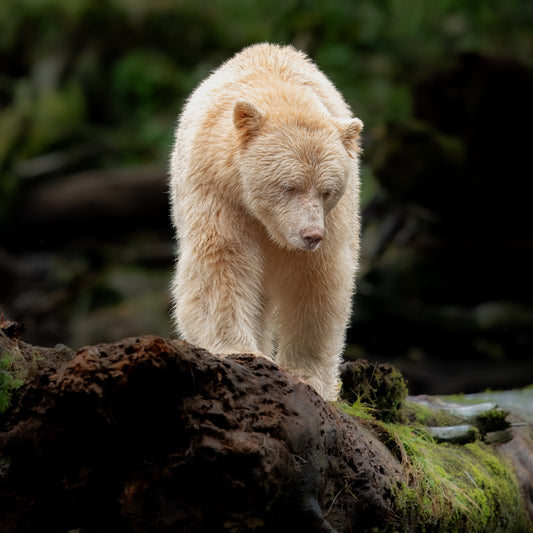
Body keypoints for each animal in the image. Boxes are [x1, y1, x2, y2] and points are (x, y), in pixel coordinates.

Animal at [169, 42, 362, 400]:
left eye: (327, 191)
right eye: (289, 186)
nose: (311, 235)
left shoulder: (336, 218)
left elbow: (317, 280)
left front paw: (308, 375)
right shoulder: (216, 190)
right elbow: (221, 262)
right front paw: (238, 350)